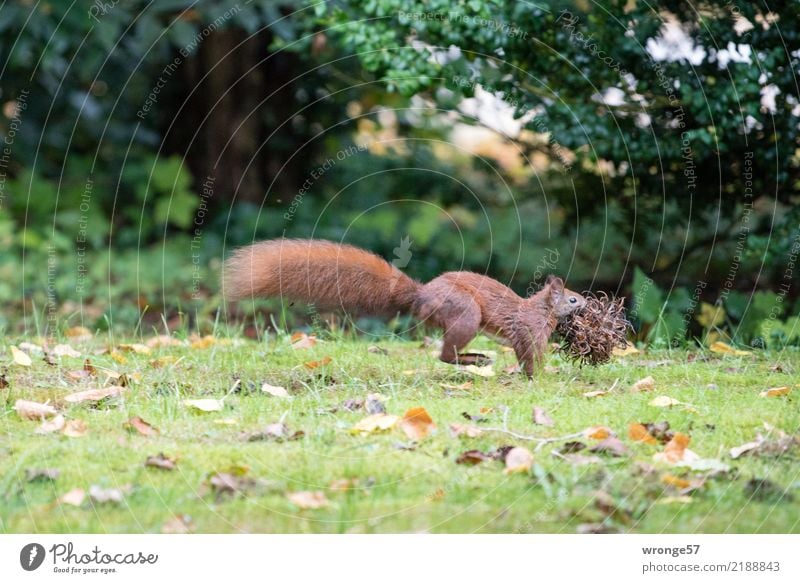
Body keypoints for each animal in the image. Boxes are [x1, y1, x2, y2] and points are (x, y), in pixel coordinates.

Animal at [225, 240, 588, 376]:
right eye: (571, 298)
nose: (586, 304)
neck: (542, 310)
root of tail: (422, 295)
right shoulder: (527, 330)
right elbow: (530, 356)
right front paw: (540, 375)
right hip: (467, 315)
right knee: (445, 354)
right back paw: (475, 359)